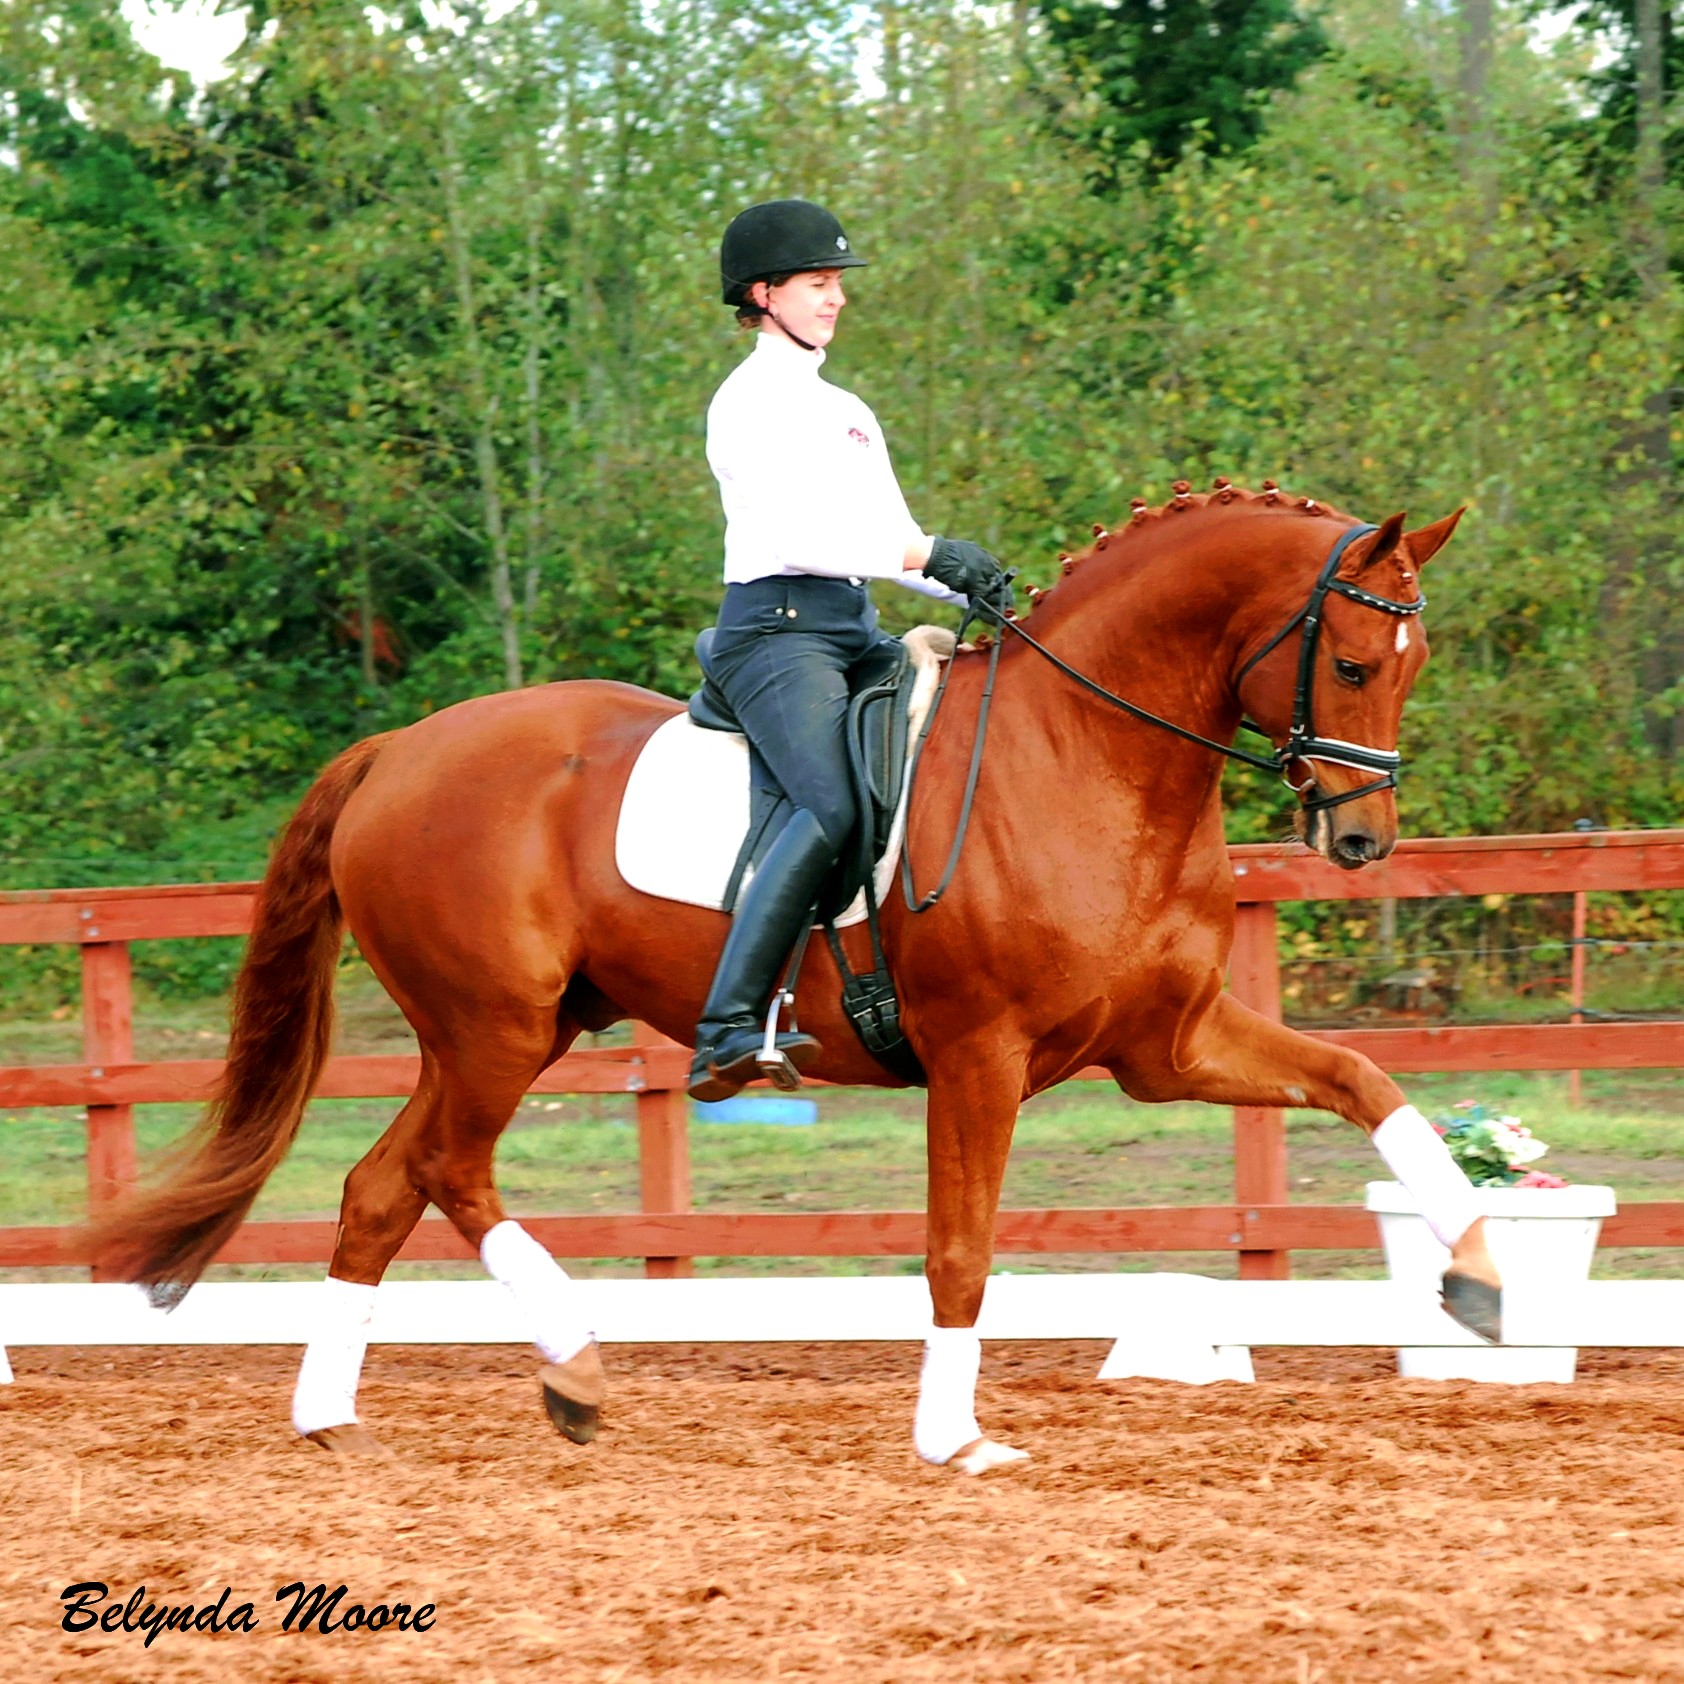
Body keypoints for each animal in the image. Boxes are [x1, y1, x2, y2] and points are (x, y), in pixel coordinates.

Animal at [90, 481, 1495, 1474]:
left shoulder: (1171, 1045)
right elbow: (959, 1251)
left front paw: (1478, 1276)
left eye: (1414, 667)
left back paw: (335, 1414)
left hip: (504, 1030)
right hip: (494, 1029)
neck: (1079, 754)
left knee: (383, 1187)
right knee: (443, 1169)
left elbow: (1362, 1079)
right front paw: (953, 1438)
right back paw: (573, 1366)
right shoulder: (979, 1056)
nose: (1362, 842)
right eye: (1353, 663)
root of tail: (396, 750)